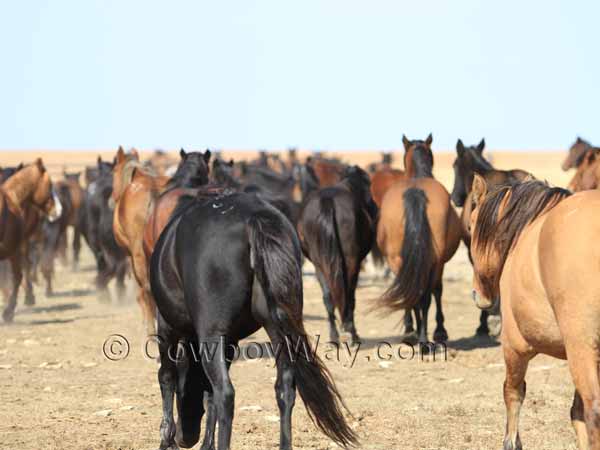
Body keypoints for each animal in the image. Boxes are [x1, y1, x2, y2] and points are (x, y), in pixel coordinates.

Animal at [298, 165, 378, 344]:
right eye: (368, 185)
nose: (375, 208)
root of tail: (328, 202)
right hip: (351, 261)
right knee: (348, 294)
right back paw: (352, 333)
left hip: (320, 264)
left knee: (328, 296)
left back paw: (334, 337)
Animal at [378, 134, 462, 344]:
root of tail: (415, 191)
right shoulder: (440, 263)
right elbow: (437, 290)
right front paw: (440, 330)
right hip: (432, 261)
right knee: (422, 295)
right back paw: (422, 338)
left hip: (399, 260)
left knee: (414, 294)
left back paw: (415, 336)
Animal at [468, 176, 600, 450]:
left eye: (470, 226)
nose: (477, 295)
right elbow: (577, 413)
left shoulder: (514, 346)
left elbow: (513, 393)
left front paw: (511, 441)